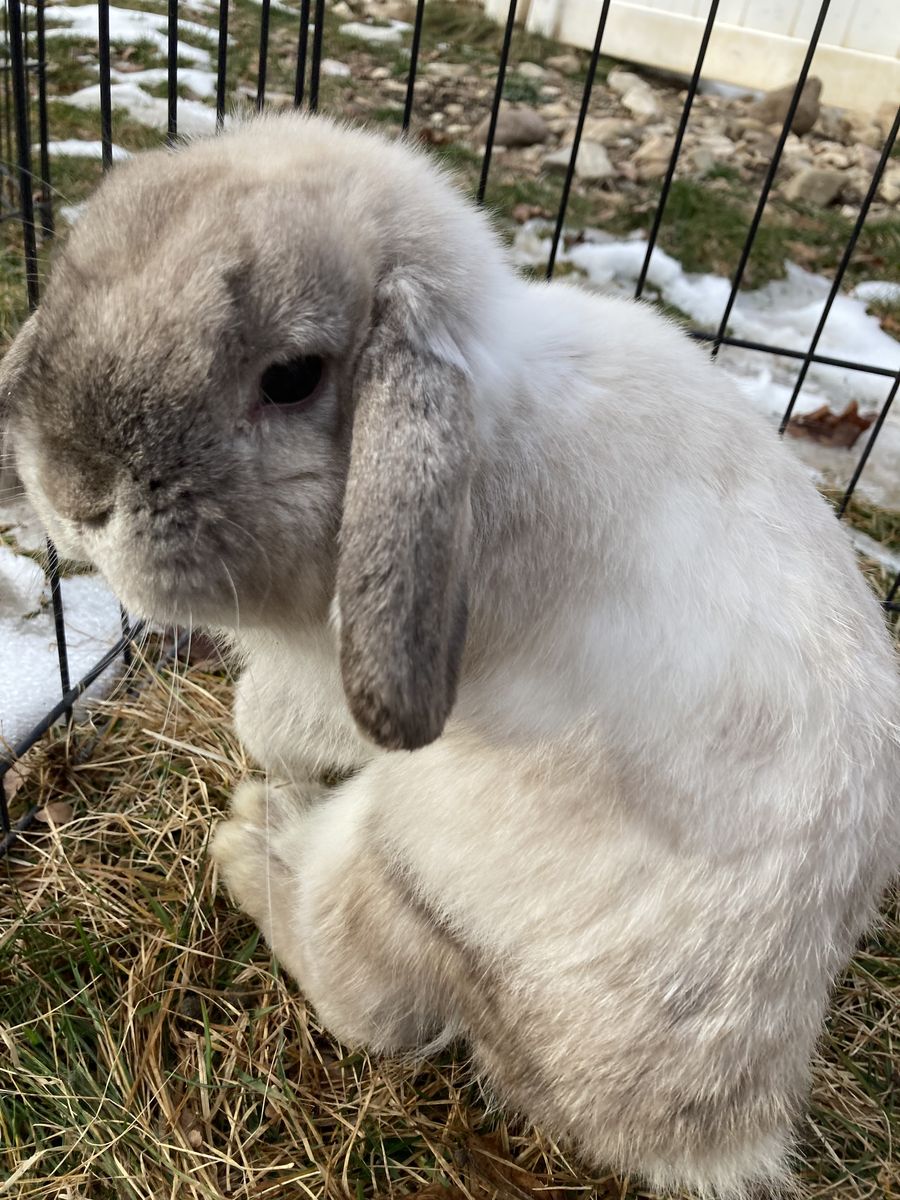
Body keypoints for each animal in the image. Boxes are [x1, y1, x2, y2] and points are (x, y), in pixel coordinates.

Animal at [1, 112, 898, 1198]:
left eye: (291, 377)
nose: (74, 498)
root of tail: (712, 1129)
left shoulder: (328, 680)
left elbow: (265, 714)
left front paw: (262, 759)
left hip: (396, 859)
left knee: (363, 997)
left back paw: (255, 839)